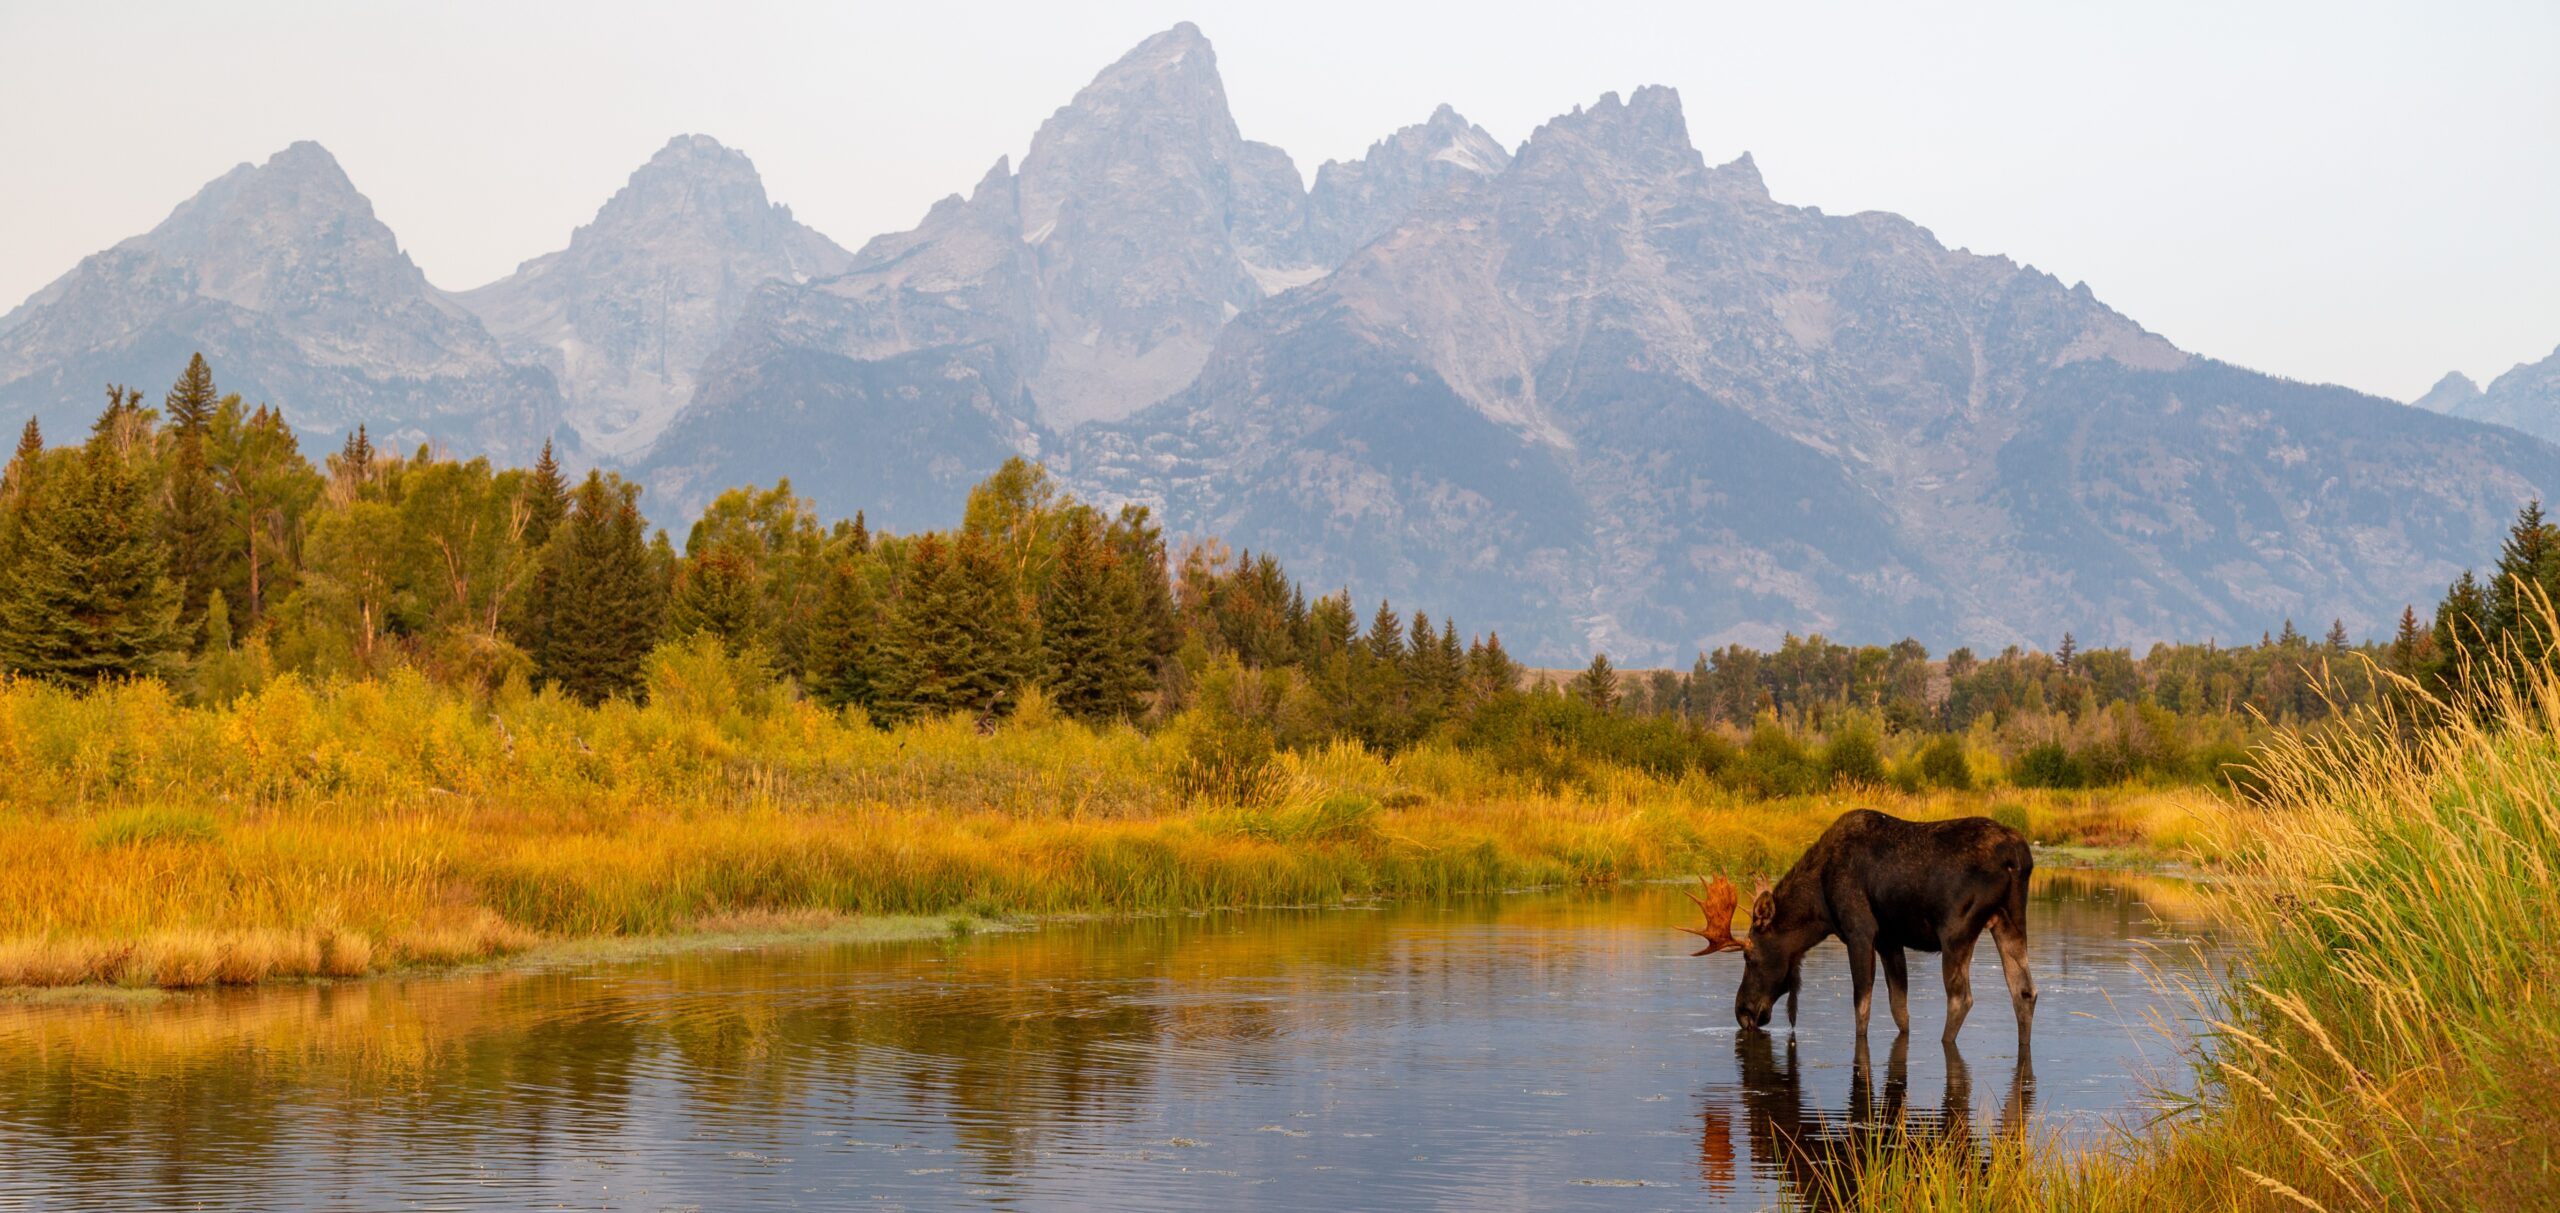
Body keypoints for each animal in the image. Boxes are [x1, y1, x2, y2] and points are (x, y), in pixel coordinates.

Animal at [1679, 803, 2037, 1044]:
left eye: (1748, 956)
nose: (1742, 1012)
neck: (1819, 903)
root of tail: (2018, 857)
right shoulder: (1890, 940)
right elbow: (1899, 1010)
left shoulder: (1860, 932)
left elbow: (1861, 1007)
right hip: (2010, 921)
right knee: (2024, 991)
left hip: (1956, 930)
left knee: (1961, 998)